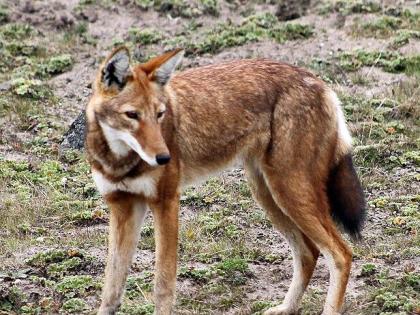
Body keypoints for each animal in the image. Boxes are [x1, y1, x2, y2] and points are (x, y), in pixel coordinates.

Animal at [84, 47, 364, 315]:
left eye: (160, 114)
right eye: (132, 115)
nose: (164, 157)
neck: (120, 162)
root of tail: (320, 83)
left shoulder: (166, 203)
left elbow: (163, 284)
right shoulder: (122, 207)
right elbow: (111, 287)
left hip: (289, 194)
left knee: (342, 254)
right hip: (268, 196)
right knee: (309, 253)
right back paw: (286, 308)